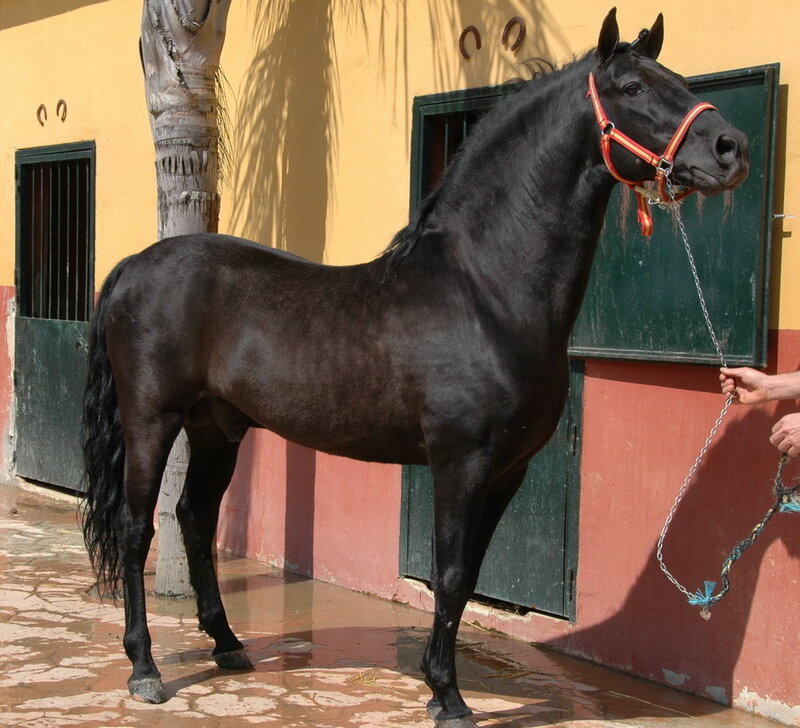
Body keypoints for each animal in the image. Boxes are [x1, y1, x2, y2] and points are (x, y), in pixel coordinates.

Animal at [81, 9, 749, 727]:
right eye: (631, 87)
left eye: (678, 79)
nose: (731, 148)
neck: (483, 291)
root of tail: (132, 266)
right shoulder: (461, 462)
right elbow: (449, 574)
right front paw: (448, 696)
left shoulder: (509, 471)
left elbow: (468, 578)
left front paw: (439, 683)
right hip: (153, 420)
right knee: (137, 528)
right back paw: (145, 669)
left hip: (217, 428)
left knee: (195, 519)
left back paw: (228, 644)